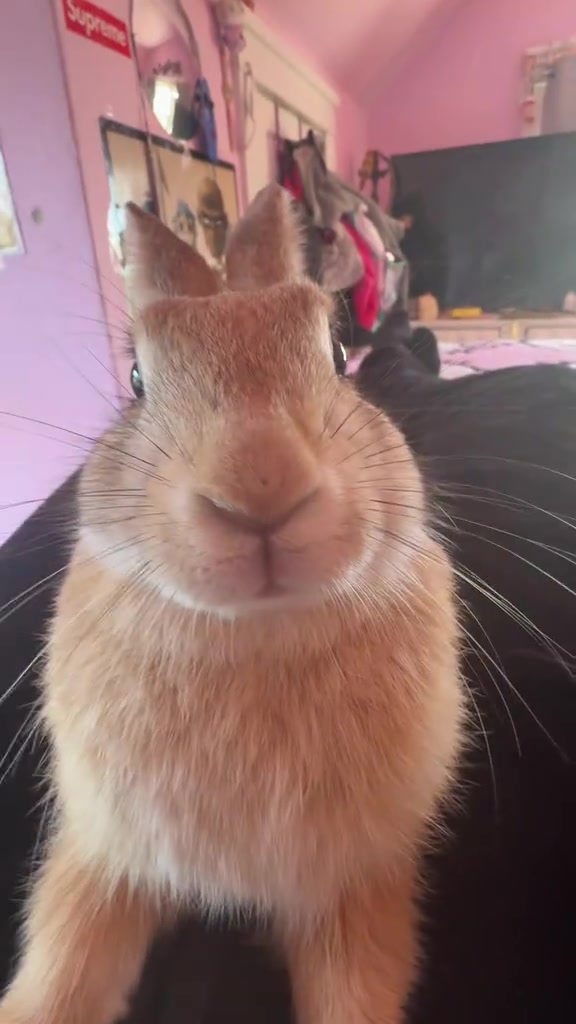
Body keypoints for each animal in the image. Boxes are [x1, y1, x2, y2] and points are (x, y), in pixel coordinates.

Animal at [0, 185, 463, 1024]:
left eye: (337, 354)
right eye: (137, 381)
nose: (262, 488)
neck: (254, 634)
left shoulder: (353, 886)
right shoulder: (106, 856)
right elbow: (62, 976)